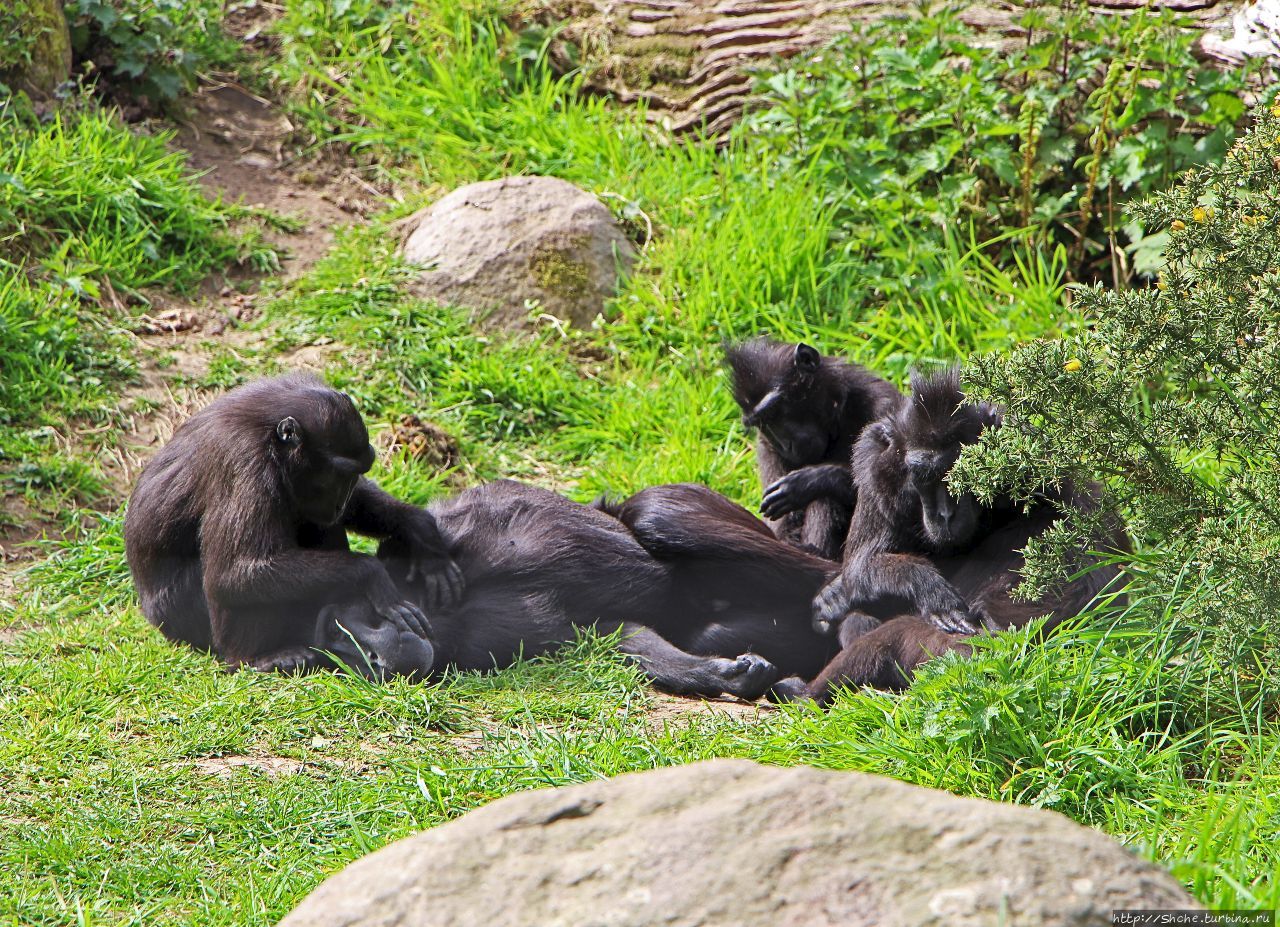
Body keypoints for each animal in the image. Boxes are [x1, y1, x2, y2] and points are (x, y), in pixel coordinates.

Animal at [732, 338, 901, 558]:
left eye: (774, 410)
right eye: (762, 423)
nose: (785, 445)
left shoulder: (886, 405)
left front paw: (811, 481)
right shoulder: (766, 446)